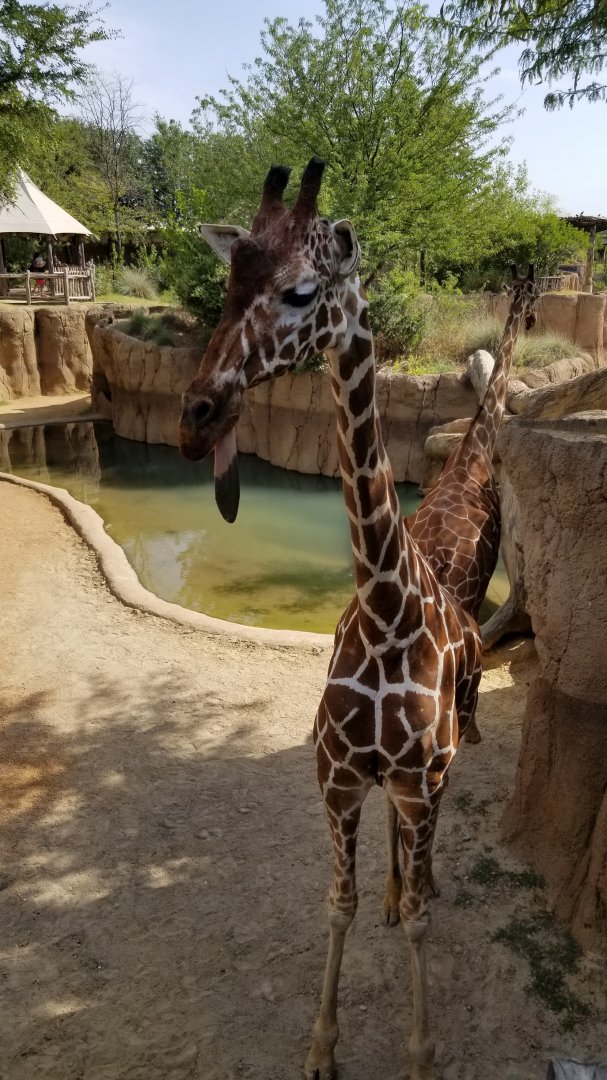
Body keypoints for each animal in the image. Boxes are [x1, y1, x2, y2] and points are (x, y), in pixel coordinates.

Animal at [179, 159, 482, 1080]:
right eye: (227, 283)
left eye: (301, 291)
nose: (196, 415)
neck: (386, 609)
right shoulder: (339, 779)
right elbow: (337, 904)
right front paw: (320, 1047)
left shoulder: (417, 780)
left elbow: (420, 918)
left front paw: (420, 1053)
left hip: (443, 765)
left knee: (428, 852)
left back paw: (419, 882)